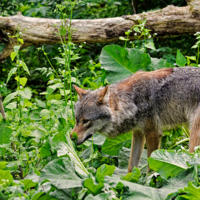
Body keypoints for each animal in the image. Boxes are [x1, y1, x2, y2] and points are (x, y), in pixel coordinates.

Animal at [70, 67, 200, 172]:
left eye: (86, 121)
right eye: (76, 119)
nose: (71, 137)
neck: (132, 99)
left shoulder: (153, 134)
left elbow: (151, 166)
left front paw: (151, 182)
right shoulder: (138, 133)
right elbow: (131, 166)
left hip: (193, 136)